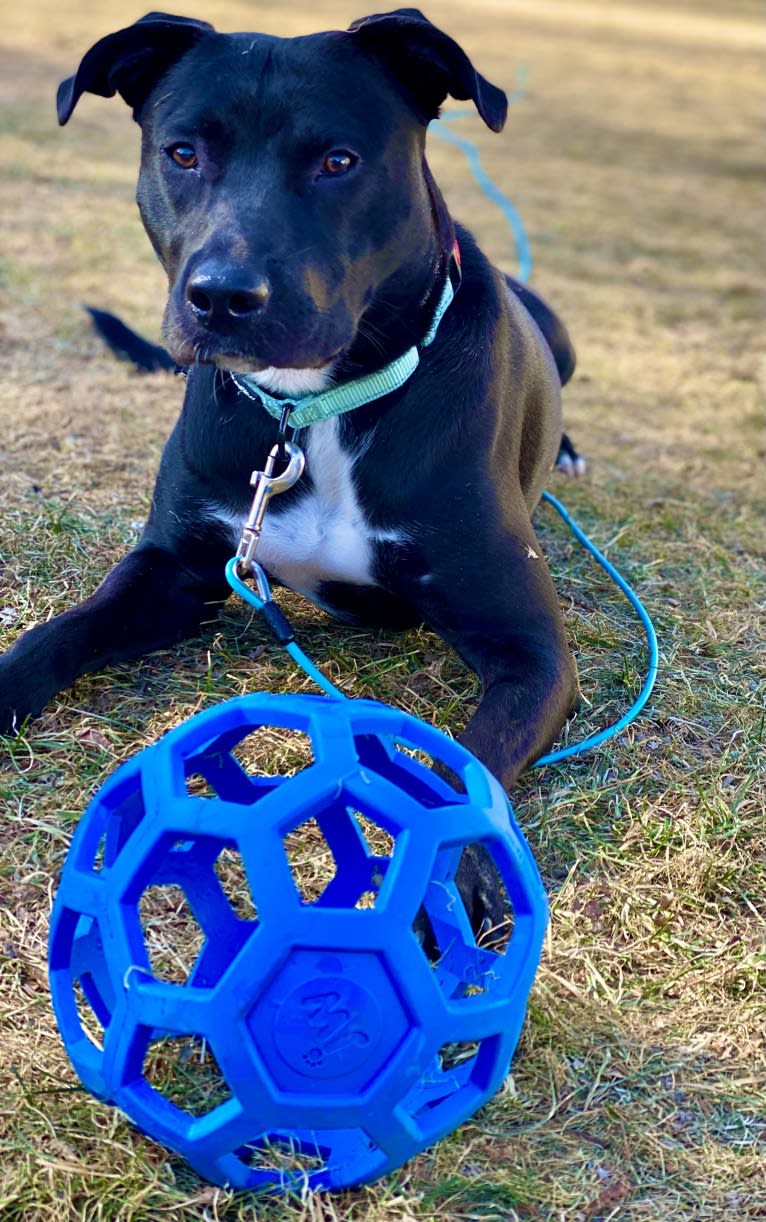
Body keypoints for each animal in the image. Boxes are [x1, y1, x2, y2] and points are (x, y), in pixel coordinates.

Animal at [0, 9, 581, 914]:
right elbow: (54, 636)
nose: (223, 298)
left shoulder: (533, 651)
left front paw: (444, 884)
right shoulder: (171, 571)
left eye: (338, 160)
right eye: (183, 152)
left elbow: (467, 768)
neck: (312, 413)